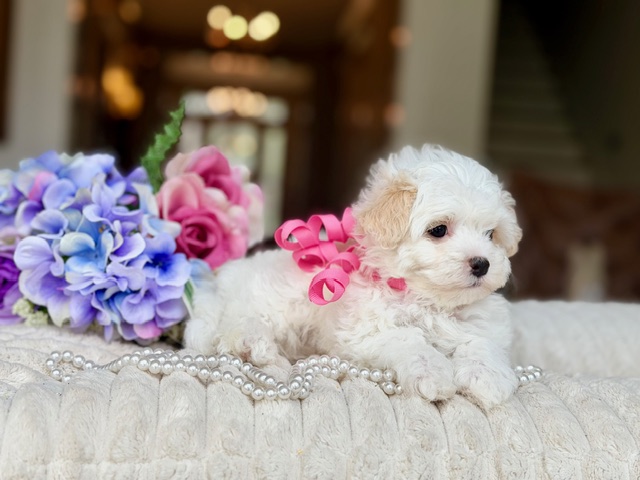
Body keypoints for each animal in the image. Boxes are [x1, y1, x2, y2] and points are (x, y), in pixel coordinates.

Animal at [184, 144, 522, 408]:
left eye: (492, 234)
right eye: (438, 230)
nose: (481, 264)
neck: (427, 300)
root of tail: (220, 282)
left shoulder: (484, 324)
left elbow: (481, 343)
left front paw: (488, 377)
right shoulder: (363, 333)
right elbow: (407, 339)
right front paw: (432, 372)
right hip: (265, 305)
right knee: (233, 329)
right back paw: (254, 346)